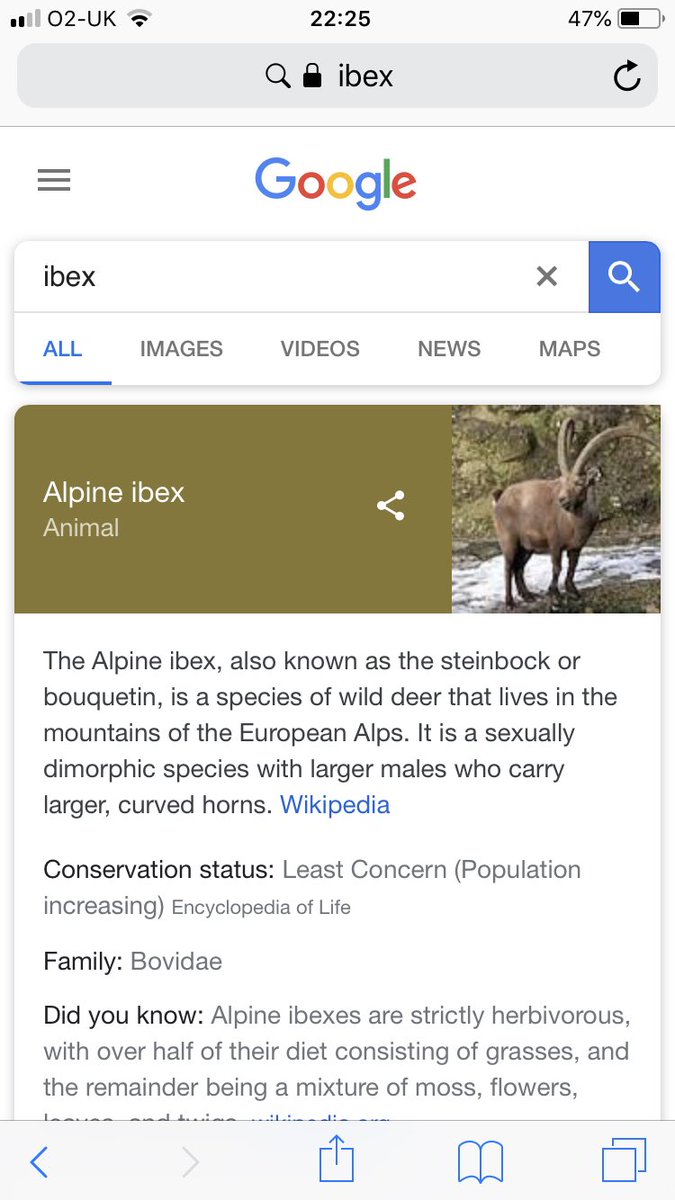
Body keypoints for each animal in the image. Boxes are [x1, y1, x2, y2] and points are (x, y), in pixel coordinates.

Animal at [491, 418, 657, 609]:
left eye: (579, 483)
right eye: (562, 481)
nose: (562, 500)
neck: (573, 523)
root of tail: (500, 497)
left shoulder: (577, 546)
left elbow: (573, 567)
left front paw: (573, 591)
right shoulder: (554, 542)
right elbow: (557, 567)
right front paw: (555, 596)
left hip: (527, 546)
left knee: (519, 567)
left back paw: (528, 596)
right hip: (509, 539)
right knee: (508, 567)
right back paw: (510, 602)